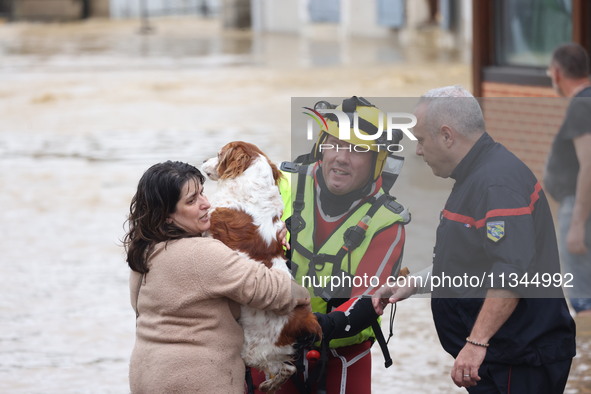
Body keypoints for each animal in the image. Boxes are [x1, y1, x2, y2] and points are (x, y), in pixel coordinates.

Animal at [204, 141, 324, 390]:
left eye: (219, 154)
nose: (203, 163)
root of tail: (305, 320)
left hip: (252, 348)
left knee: (283, 368)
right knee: (288, 368)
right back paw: (269, 385)